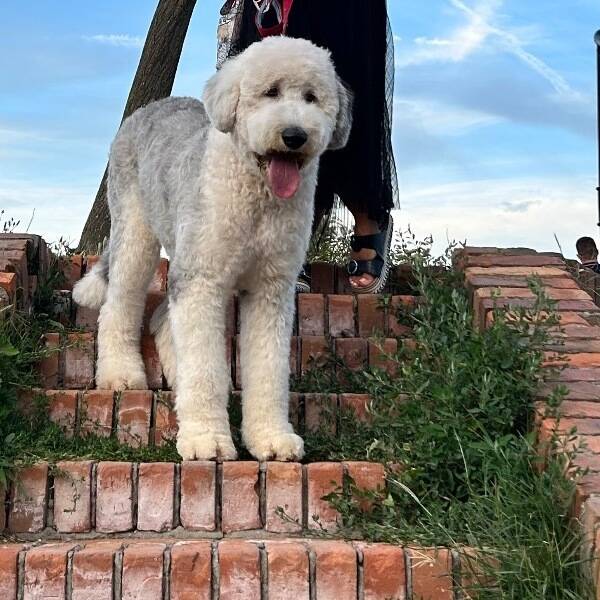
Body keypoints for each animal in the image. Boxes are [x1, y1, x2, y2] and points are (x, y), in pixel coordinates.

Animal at [71, 36, 352, 460]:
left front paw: (271, 438)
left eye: (311, 97)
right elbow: (205, 368)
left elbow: (268, 368)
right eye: (270, 92)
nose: (294, 135)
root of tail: (150, 107)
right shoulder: (202, 280)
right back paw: (121, 373)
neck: (256, 193)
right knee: (120, 303)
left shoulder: (270, 289)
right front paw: (207, 439)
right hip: (137, 233)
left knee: (162, 319)